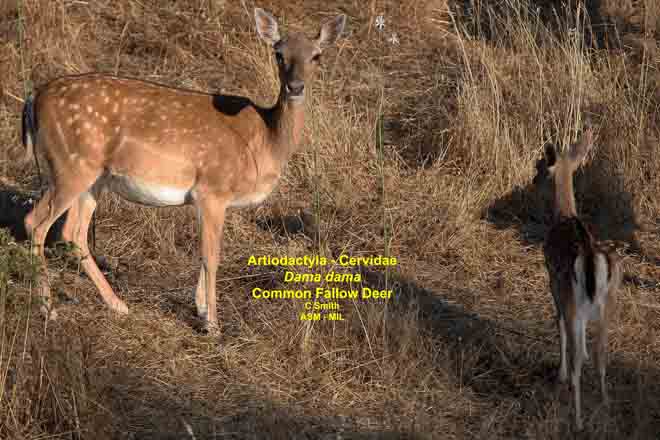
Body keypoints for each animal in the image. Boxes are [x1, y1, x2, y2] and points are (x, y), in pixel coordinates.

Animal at [20, 8, 346, 334]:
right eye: (278, 54)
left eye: (317, 55)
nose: (295, 87)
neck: (265, 141)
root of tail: (34, 98)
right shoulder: (213, 188)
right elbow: (211, 256)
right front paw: (213, 324)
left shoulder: (205, 198)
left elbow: (204, 254)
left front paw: (201, 310)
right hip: (70, 166)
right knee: (36, 222)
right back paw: (48, 309)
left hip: (93, 177)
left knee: (73, 231)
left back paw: (117, 304)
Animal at [539, 121, 622, 430]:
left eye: (543, 167)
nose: (535, 177)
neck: (564, 214)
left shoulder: (553, 281)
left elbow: (559, 323)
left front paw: (559, 374)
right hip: (609, 303)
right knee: (602, 356)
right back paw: (606, 405)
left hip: (572, 296)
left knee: (577, 363)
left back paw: (577, 420)